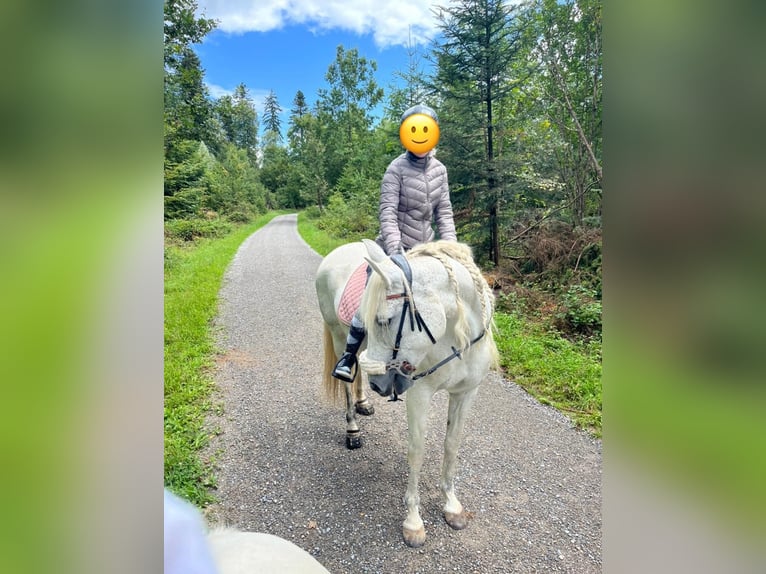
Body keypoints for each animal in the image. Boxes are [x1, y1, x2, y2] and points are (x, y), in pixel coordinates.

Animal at [316, 238, 498, 548]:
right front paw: (414, 522)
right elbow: (417, 450)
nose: (380, 386)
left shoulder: (465, 393)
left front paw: (451, 505)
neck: (455, 338)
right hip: (339, 337)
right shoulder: (419, 394)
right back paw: (353, 429)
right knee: (349, 378)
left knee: (360, 370)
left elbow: (452, 445)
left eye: (384, 320)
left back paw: (364, 403)